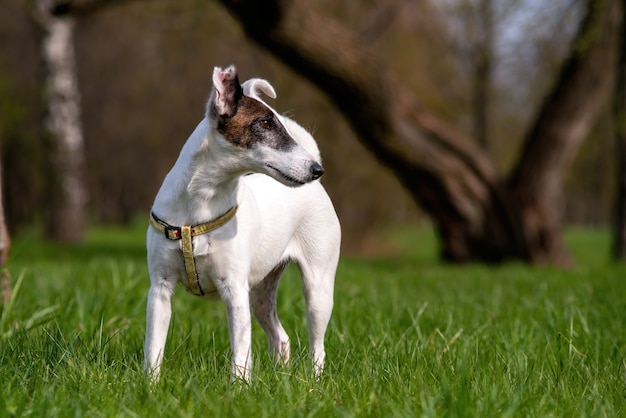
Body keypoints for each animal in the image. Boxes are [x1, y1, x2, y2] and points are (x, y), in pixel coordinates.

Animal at [143, 65, 338, 382]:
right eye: (266, 123)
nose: (316, 169)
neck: (201, 202)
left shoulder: (234, 290)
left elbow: (241, 351)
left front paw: (239, 386)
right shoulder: (160, 290)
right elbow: (153, 348)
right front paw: (150, 385)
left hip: (318, 289)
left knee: (317, 347)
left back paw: (314, 382)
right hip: (260, 294)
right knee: (281, 337)